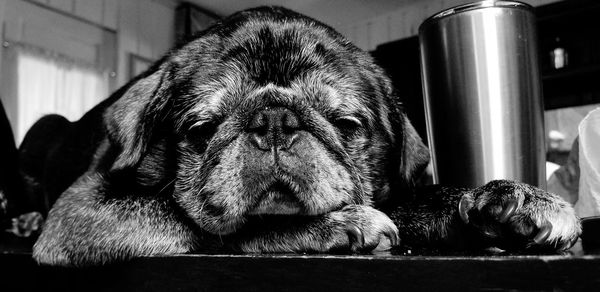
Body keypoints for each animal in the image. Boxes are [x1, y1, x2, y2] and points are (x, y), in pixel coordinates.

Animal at [24, 6, 580, 266]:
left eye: (346, 125)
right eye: (201, 130)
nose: (274, 122)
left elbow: (426, 200)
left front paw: (504, 201)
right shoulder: (84, 211)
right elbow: (214, 227)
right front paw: (333, 227)